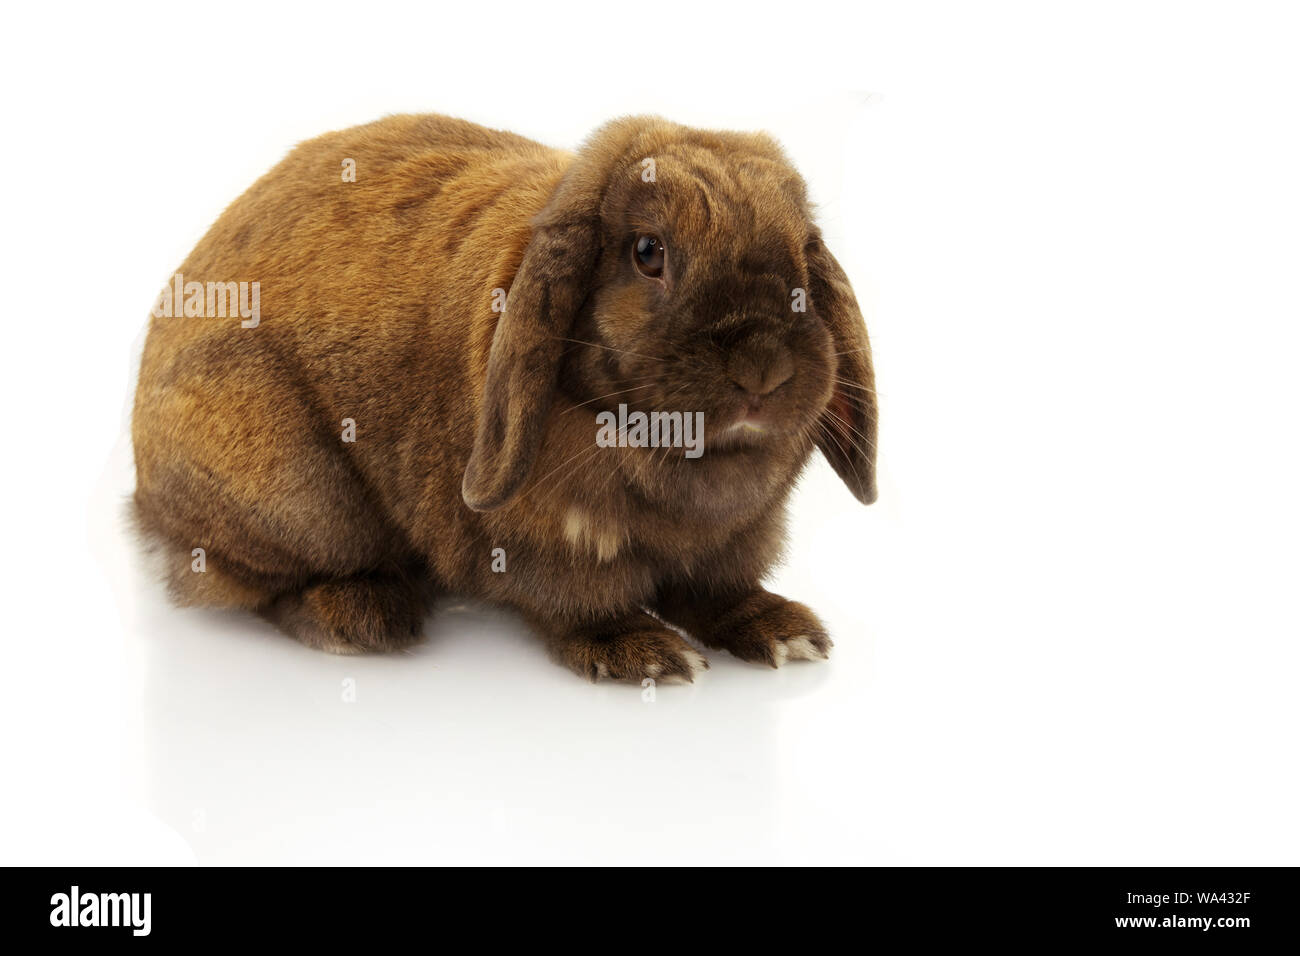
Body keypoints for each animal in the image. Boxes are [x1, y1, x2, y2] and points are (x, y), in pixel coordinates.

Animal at [131, 113, 878, 683]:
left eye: (802, 255)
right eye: (648, 252)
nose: (763, 369)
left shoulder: (738, 540)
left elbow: (721, 592)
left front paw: (783, 631)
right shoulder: (551, 542)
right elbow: (582, 605)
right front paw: (644, 654)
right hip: (299, 496)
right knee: (252, 580)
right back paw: (362, 618)